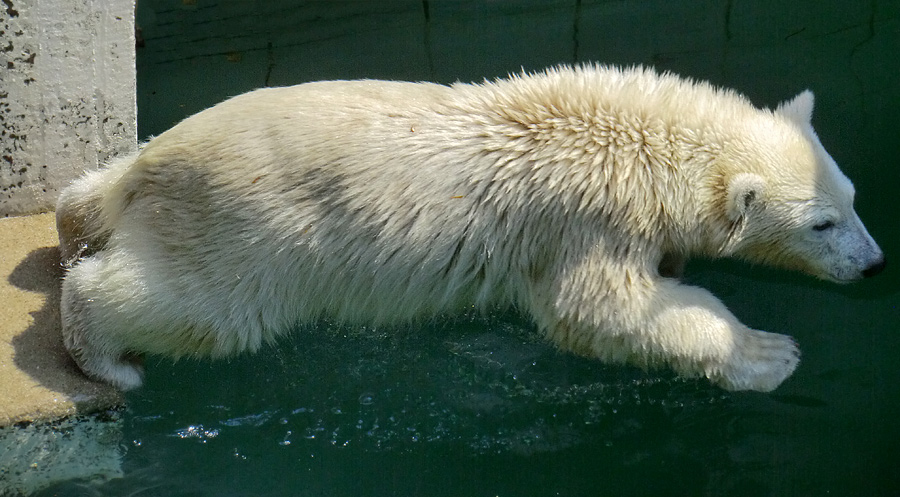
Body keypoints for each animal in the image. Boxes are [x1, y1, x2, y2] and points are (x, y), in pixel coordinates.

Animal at [56, 65, 884, 392]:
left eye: (852, 196)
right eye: (822, 223)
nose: (875, 264)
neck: (640, 140)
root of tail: (152, 168)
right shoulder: (584, 219)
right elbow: (598, 310)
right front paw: (768, 354)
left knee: (87, 193)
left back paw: (70, 221)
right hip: (250, 235)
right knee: (193, 307)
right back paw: (106, 357)